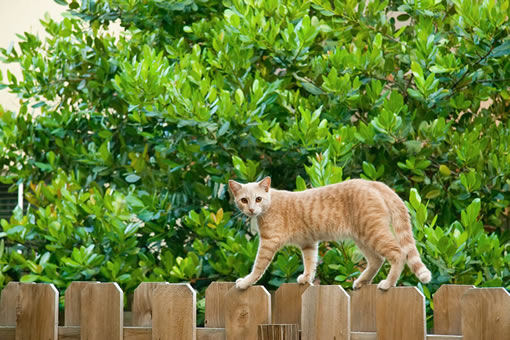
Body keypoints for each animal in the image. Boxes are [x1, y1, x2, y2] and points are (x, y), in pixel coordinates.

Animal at [229, 177, 432, 290]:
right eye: (244, 200)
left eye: (258, 199)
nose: (251, 210)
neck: (269, 205)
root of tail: (373, 183)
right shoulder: (309, 244)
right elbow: (310, 263)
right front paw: (306, 279)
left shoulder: (268, 242)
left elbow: (257, 268)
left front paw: (245, 282)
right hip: (363, 238)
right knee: (377, 260)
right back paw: (361, 281)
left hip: (373, 233)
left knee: (398, 254)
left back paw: (388, 284)